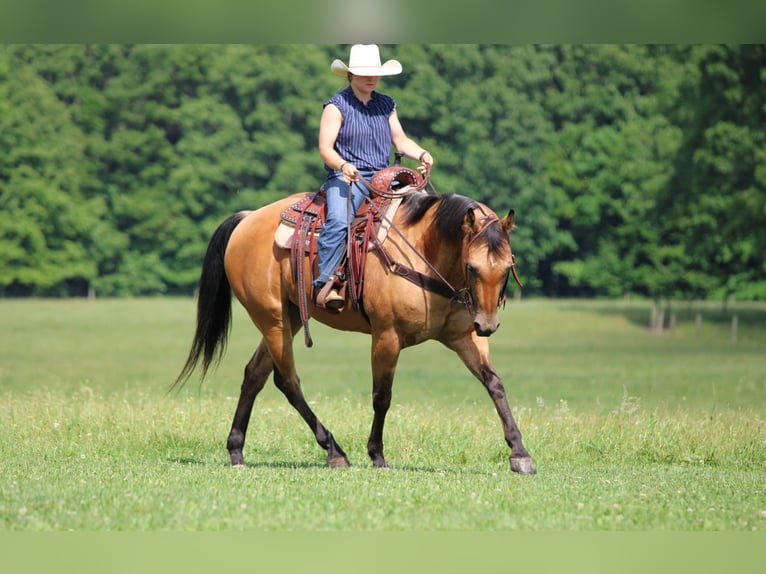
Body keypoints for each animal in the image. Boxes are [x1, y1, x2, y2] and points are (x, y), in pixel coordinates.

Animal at [175, 182, 536, 475]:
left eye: (508, 267)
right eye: (472, 268)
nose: (488, 324)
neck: (424, 252)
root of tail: (248, 219)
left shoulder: (464, 337)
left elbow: (494, 384)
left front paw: (520, 453)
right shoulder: (387, 336)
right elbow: (382, 396)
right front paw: (377, 455)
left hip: (289, 318)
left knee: (254, 375)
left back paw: (236, 450)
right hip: (272, 318)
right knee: (287, 381)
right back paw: (334, 451)